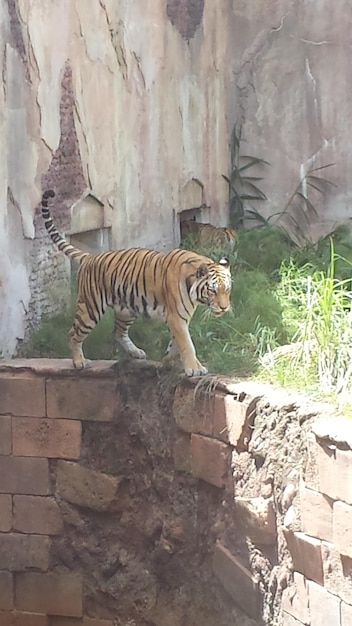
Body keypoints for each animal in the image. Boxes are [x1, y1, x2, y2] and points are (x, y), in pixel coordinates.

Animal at [41, 189, 232, 376]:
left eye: (227, 290)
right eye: (213, 290)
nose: (224, 308)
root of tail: (89, 257)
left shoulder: (180, 318)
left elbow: (176, 344)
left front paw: (167, 361)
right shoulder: (176, 317)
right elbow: (186, 344)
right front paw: (194, 368)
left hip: (126, 309)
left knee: (118, 332)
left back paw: (136, 352)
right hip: (90, 308)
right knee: (73, 334)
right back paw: (79, 362)